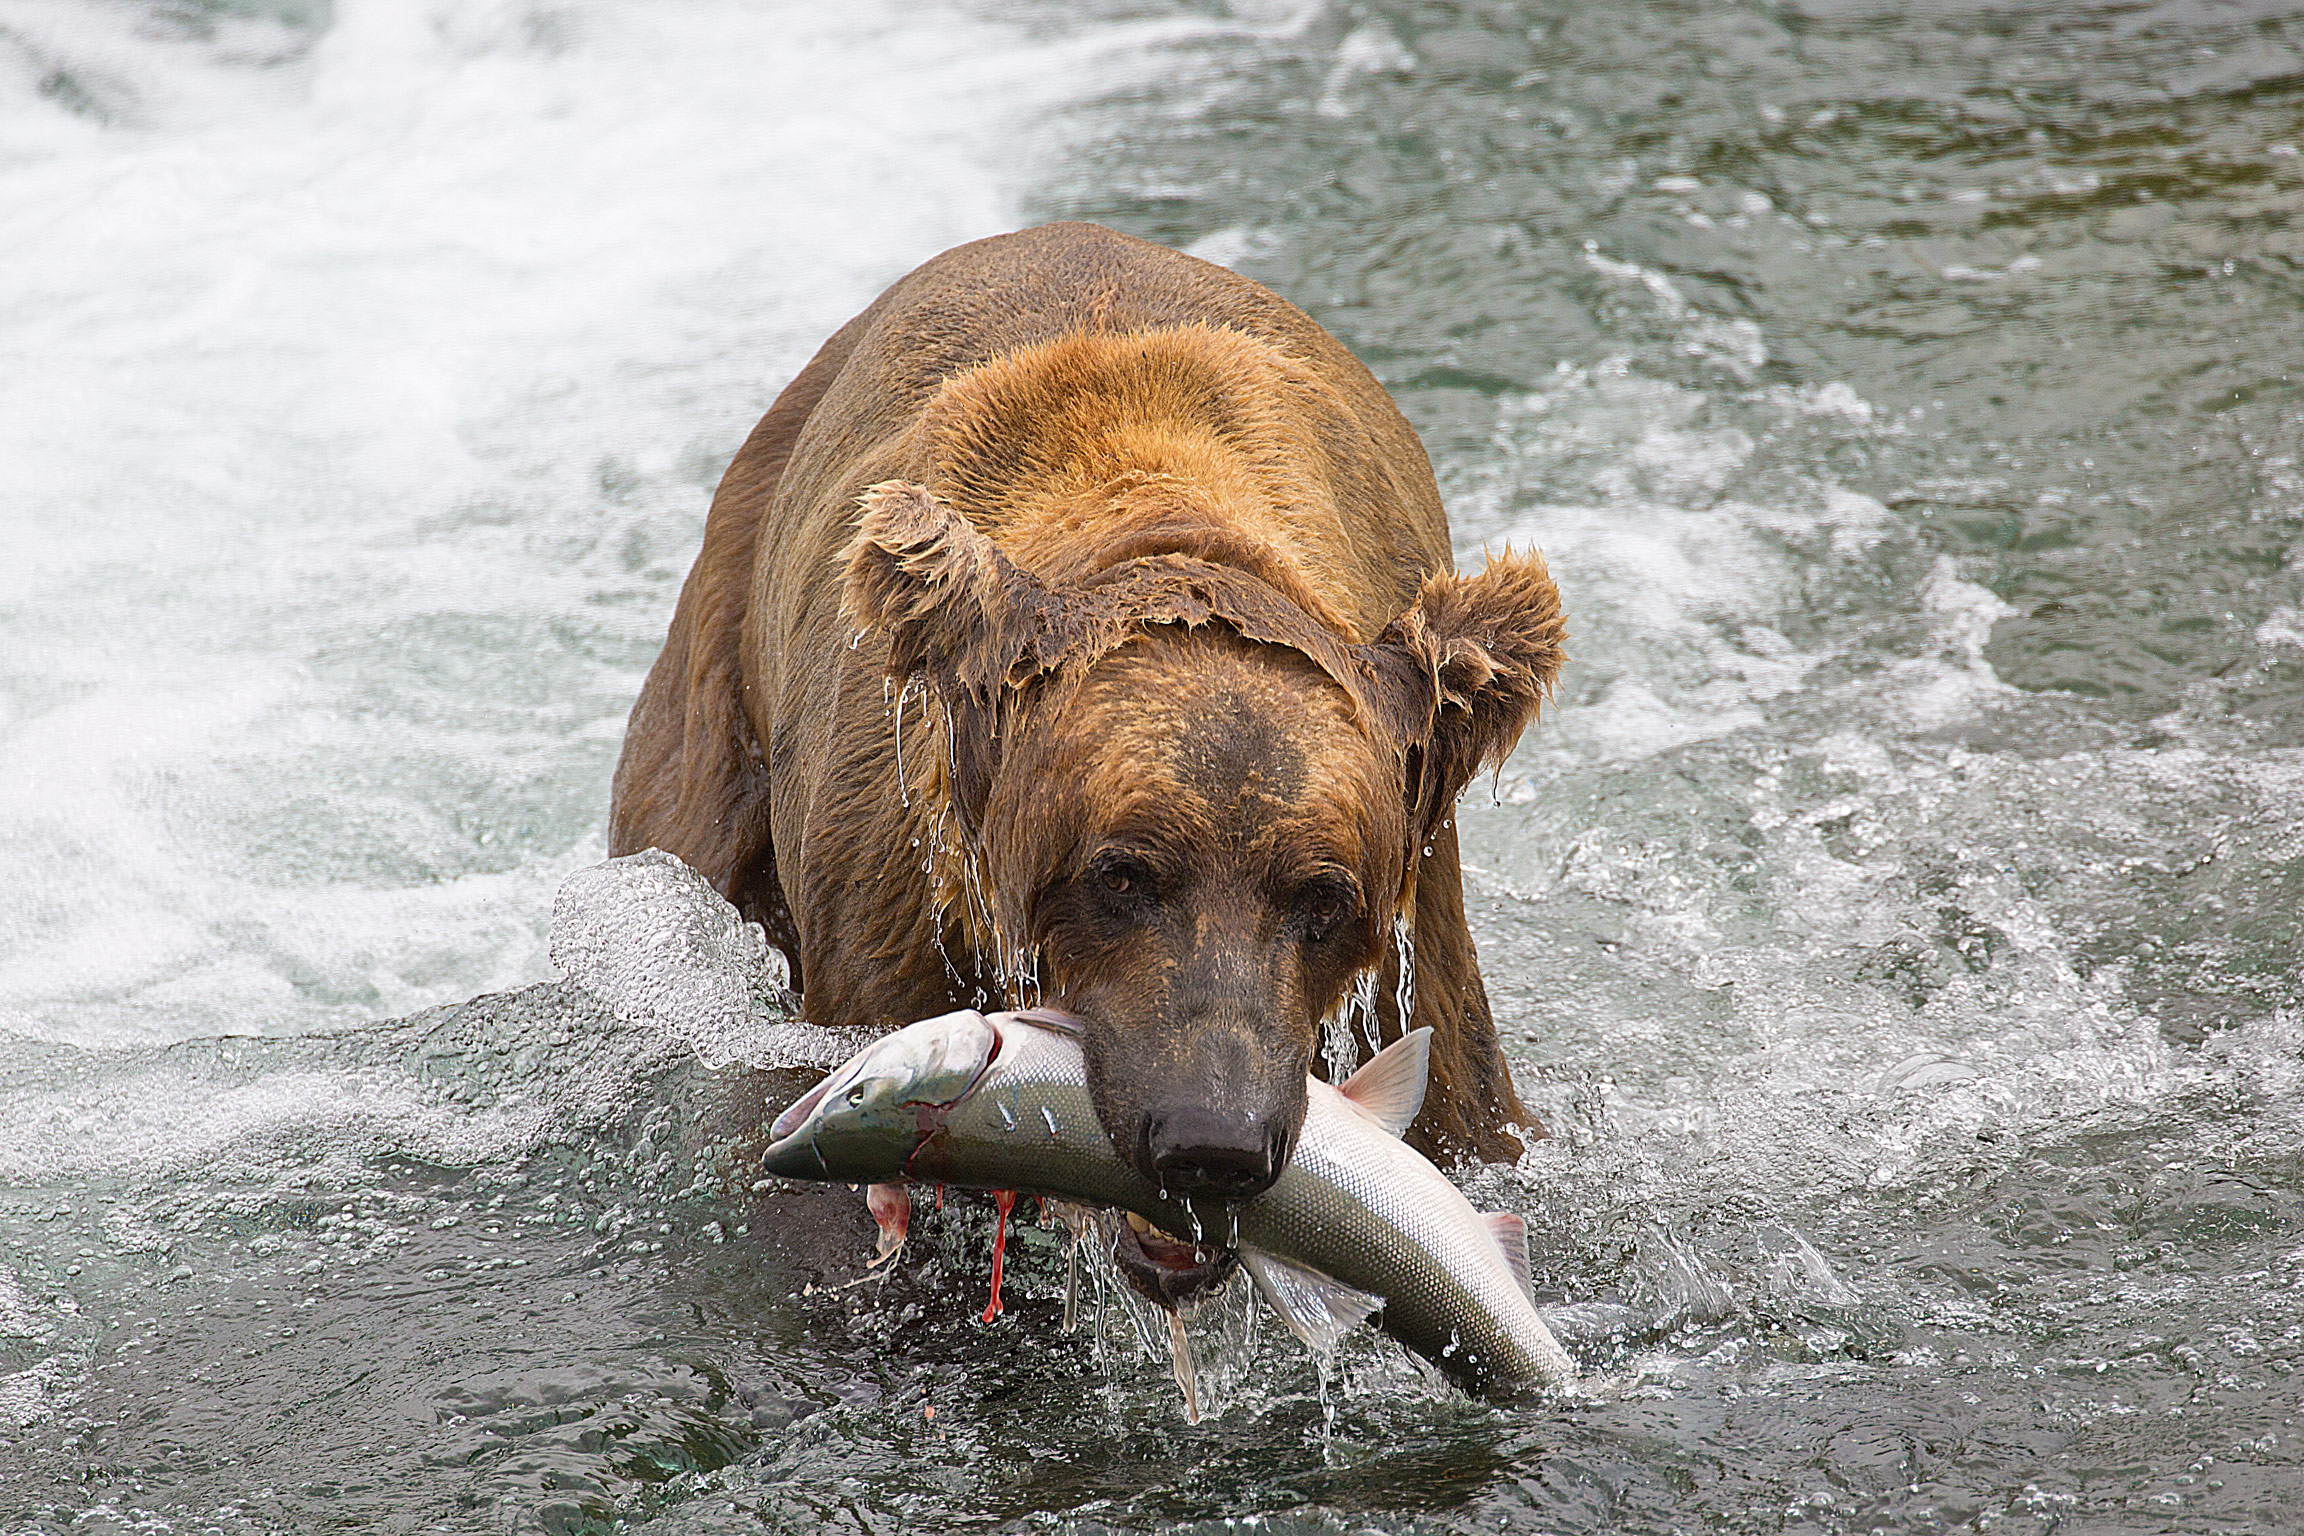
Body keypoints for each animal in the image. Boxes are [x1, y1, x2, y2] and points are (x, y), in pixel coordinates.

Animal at [609, 222, 1564, 1295]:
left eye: (1323, 895)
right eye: (1122, 874)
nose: (1213, 1140)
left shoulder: (1414, 930)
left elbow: (1464, 1120)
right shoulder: (896, 906)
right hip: (718, 714)